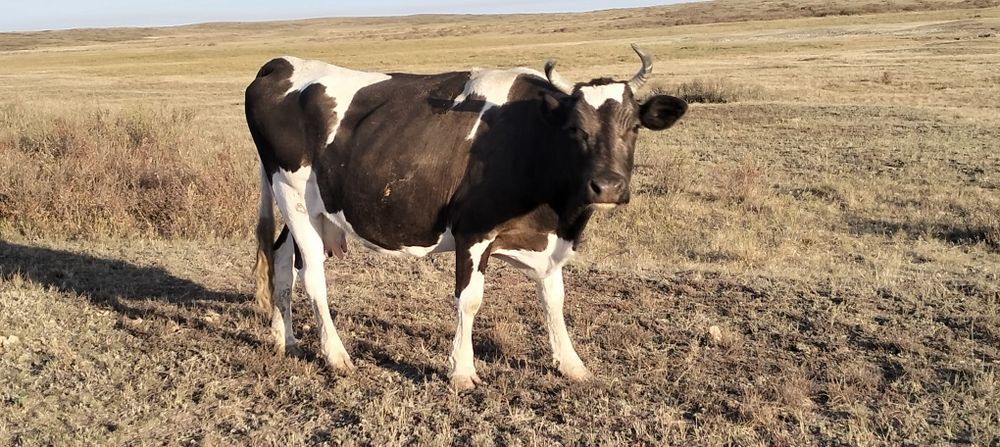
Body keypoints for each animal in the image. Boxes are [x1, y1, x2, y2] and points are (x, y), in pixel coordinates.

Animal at [245, 44, 687, 390]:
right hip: (293, 195)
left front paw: (571, 364)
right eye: (577, 129)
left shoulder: (548, 244)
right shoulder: (472, 232)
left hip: (310, 207)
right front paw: (461, 370)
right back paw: (336, 355)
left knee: (281, 261)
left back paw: (284, 339)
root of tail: (280, 64)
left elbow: (554, 300)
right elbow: (469, 300)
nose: (607, 187)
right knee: (312, 275)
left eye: (633, 127)